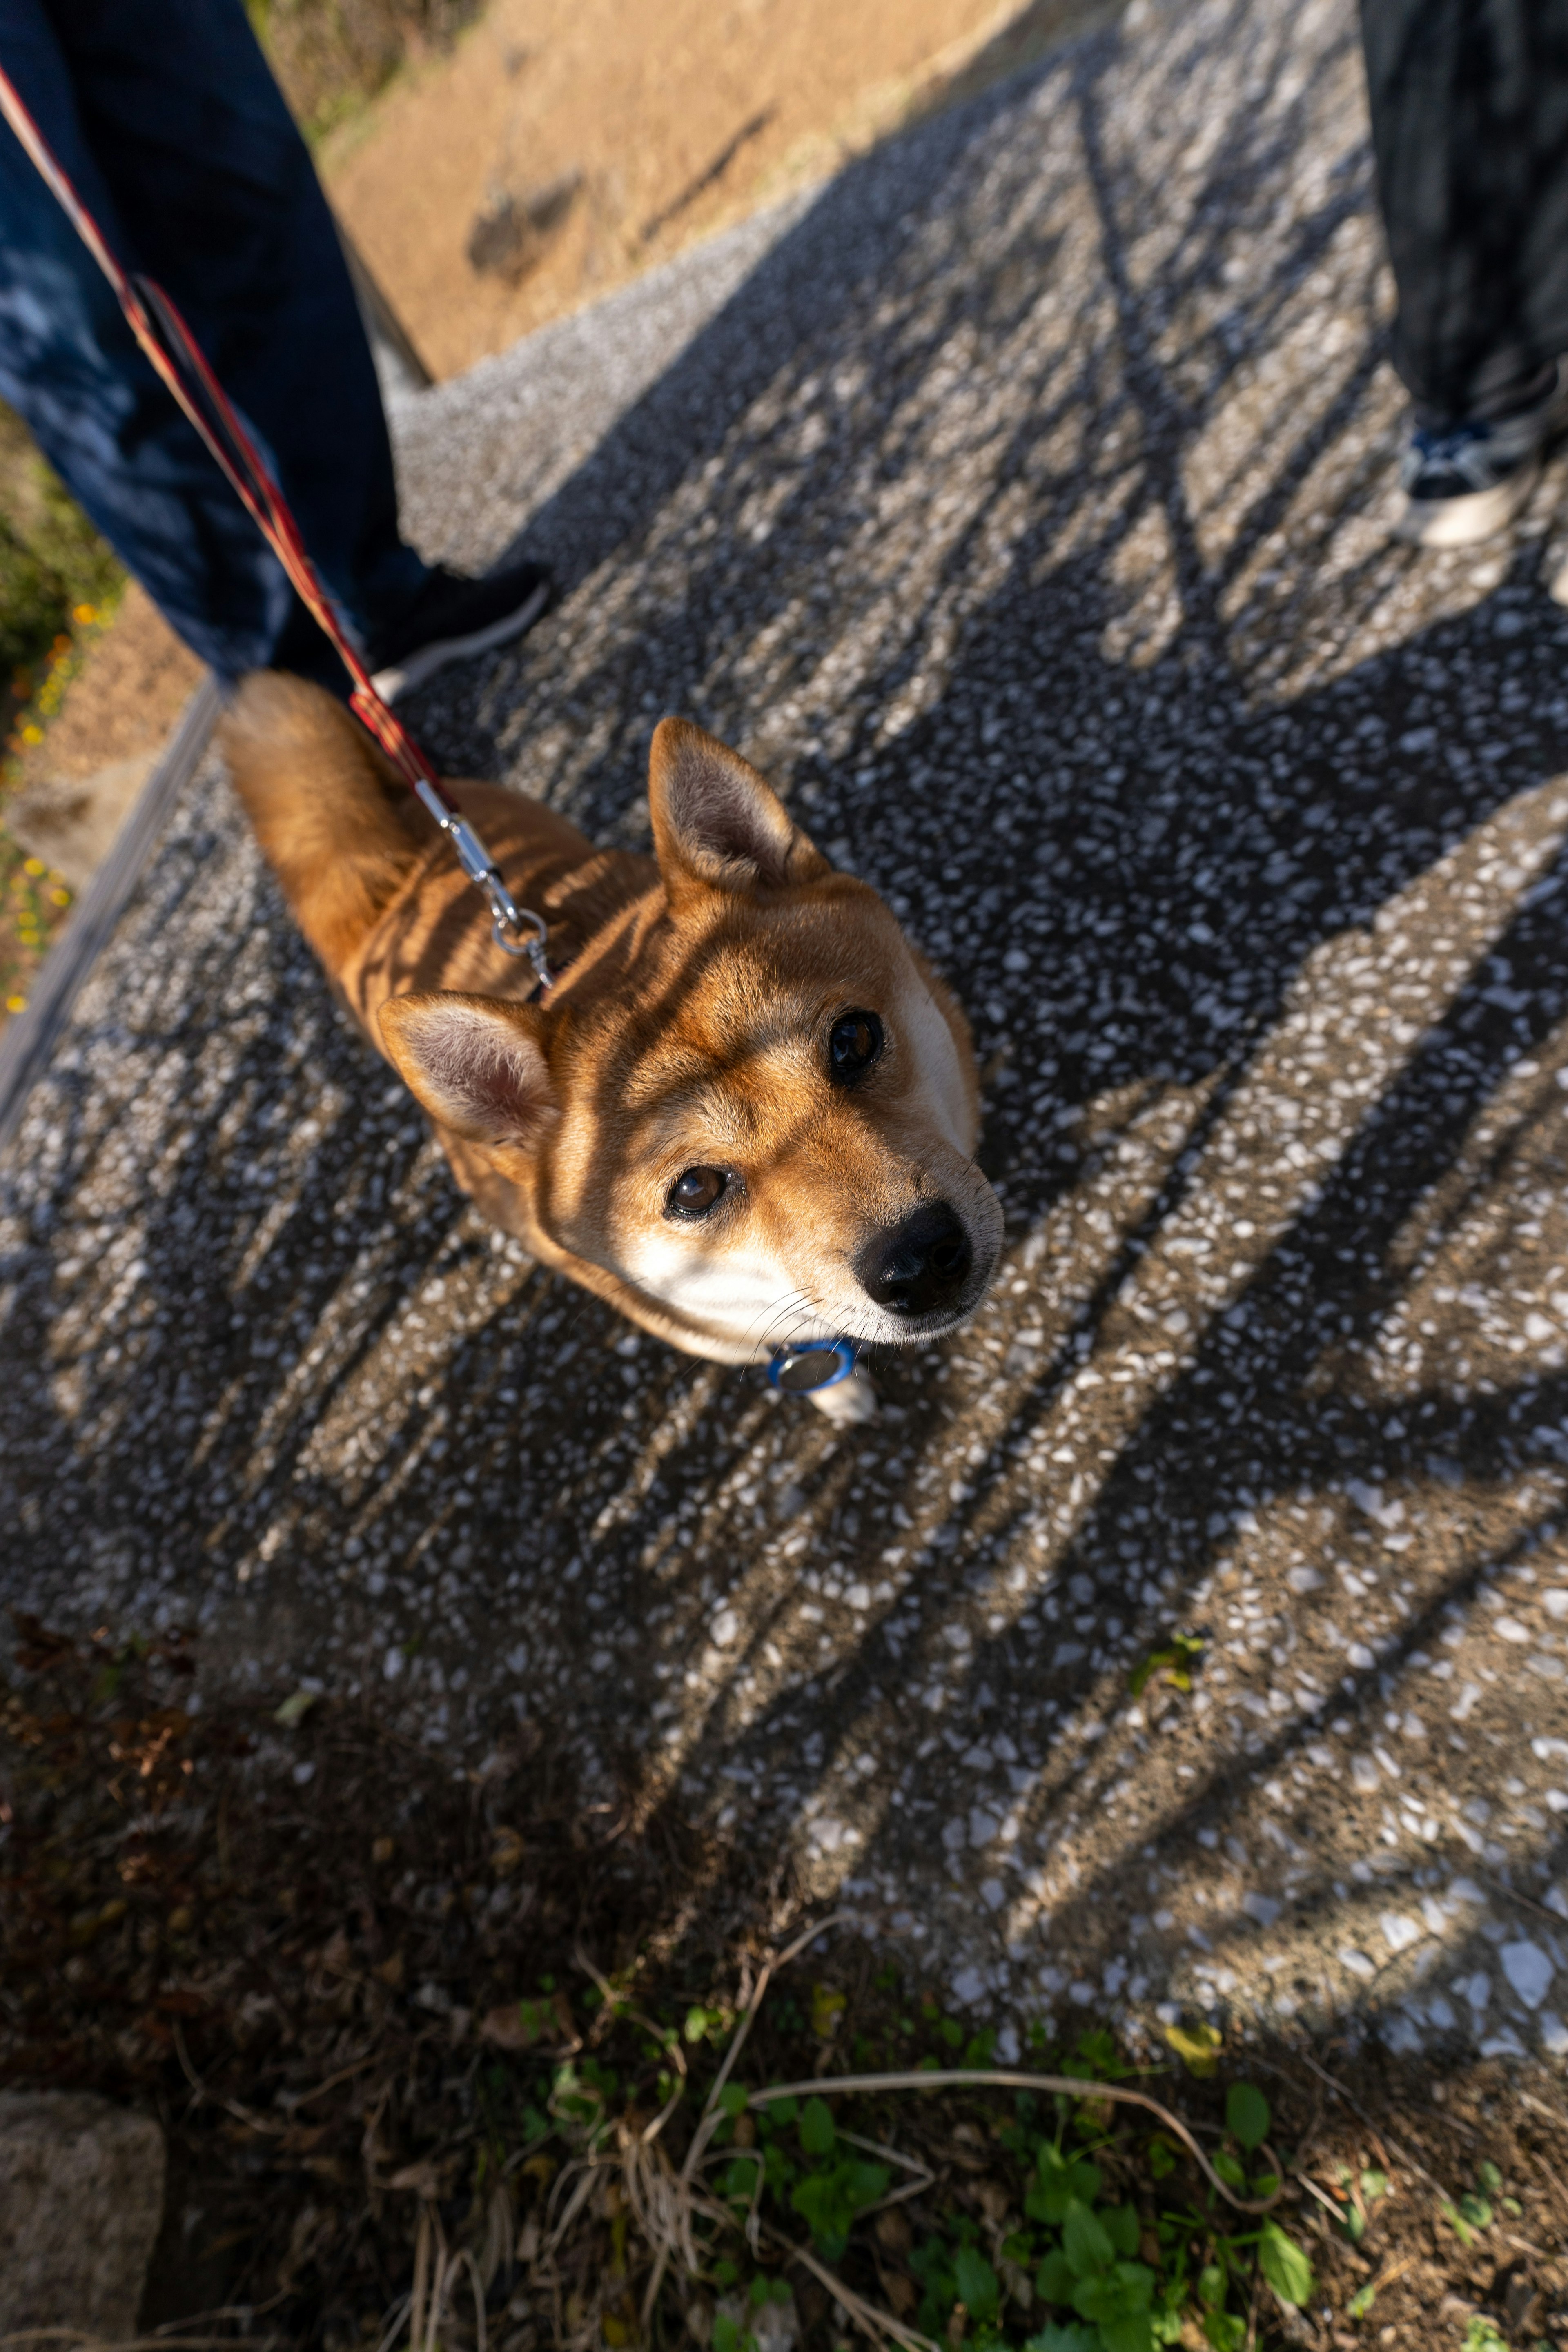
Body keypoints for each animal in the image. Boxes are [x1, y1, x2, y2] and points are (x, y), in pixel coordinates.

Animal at [221, 673, 1001, 1421]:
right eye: (695, 1190)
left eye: (853, 1040)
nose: (918, 1261)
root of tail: (394, 883)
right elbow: (804, 1356)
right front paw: (836, 1393)